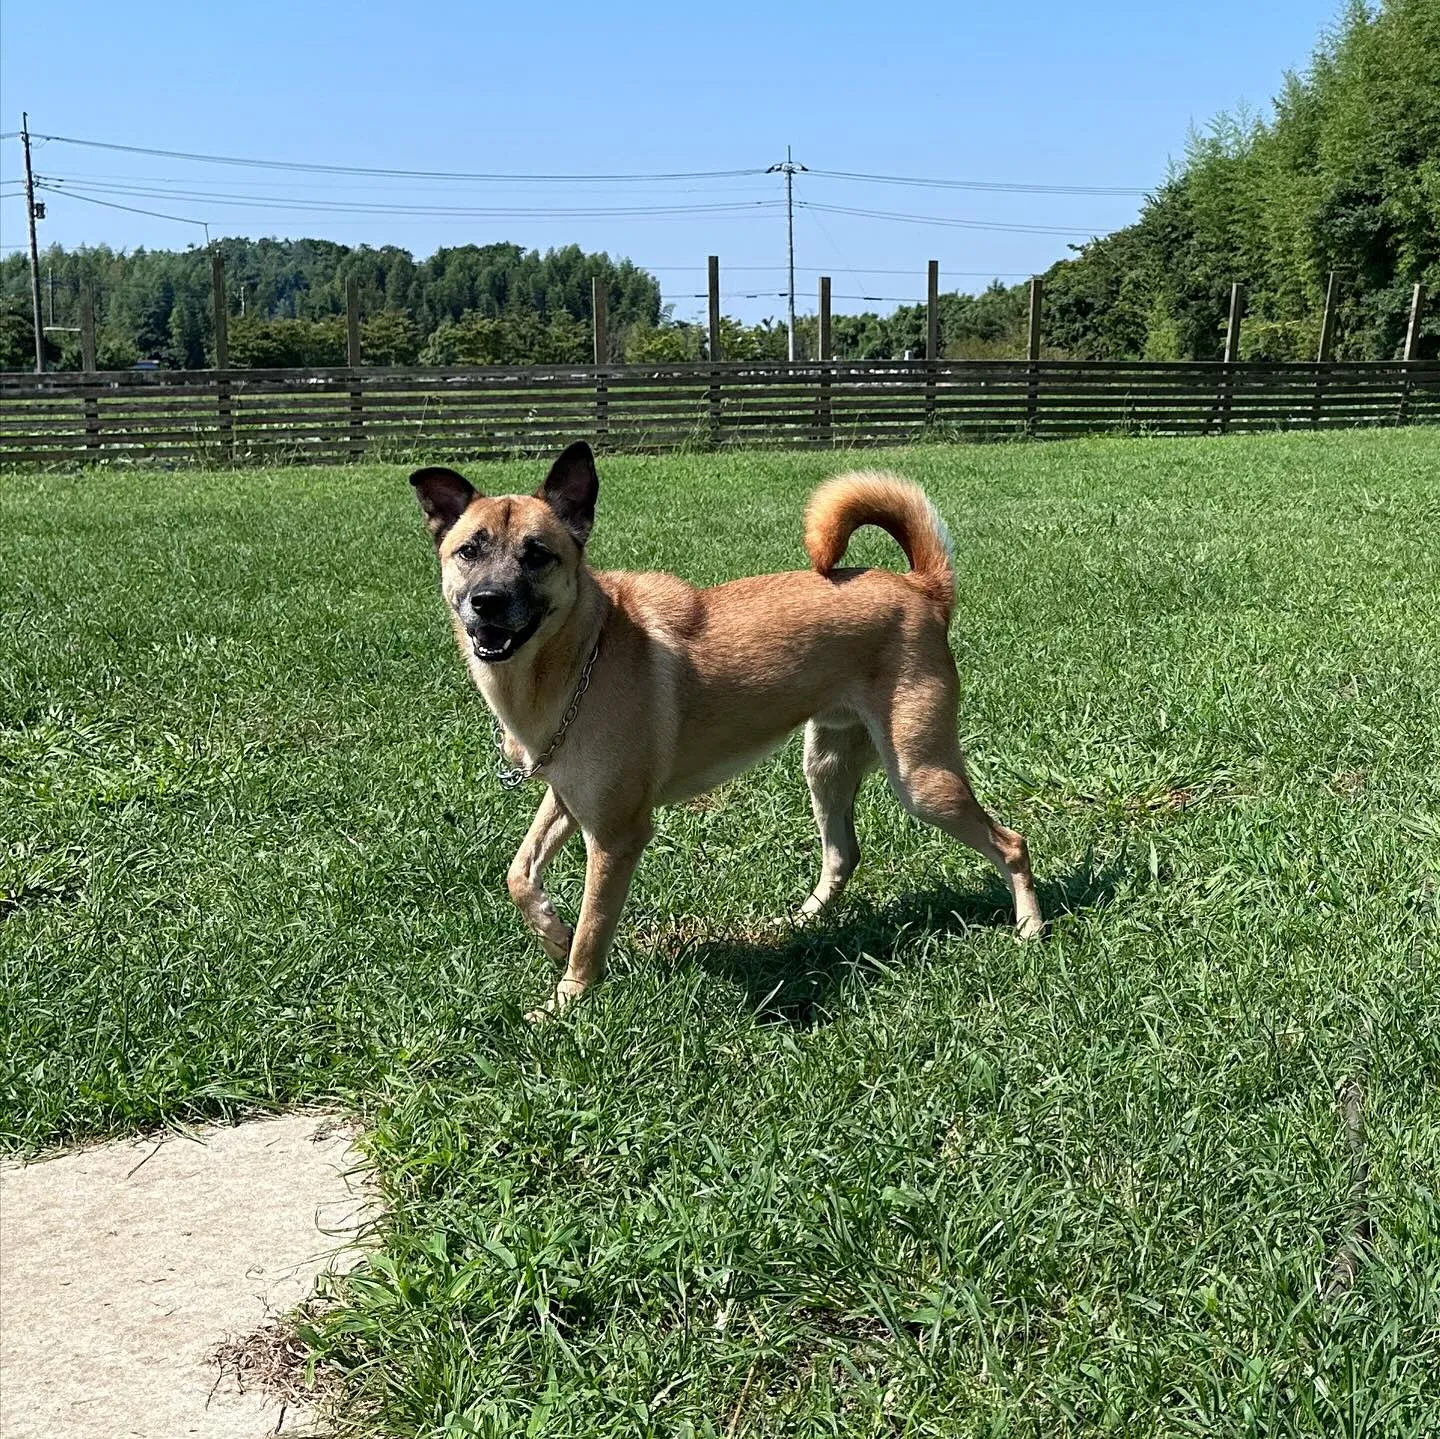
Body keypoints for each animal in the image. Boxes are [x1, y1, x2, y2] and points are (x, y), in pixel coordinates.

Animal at [411, 443, 1042, 1019]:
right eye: (469, 551)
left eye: (537, 554)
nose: (486, 603)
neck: (579, 654)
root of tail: (922, 589)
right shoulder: (568, 797)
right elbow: (519, 872)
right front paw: (551, 933)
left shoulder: (616, 833)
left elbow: (593, 928)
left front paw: (568, 999)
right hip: (827, 764)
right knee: (843, 852)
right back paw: (802, 920)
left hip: (920, 777)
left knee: (1011, 842)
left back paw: (1031, 926)